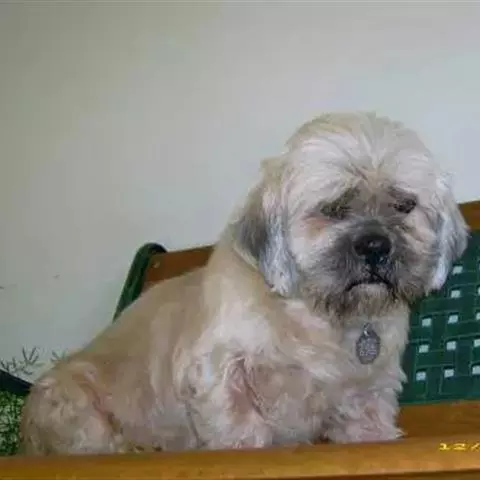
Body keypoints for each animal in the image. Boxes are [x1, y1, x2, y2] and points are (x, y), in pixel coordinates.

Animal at [21, 111, 468, 454]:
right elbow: (240, 426)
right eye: (333, 208)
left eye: (404, 204)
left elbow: (369, 426)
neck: (319, 319)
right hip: (77, 410)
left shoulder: (369, 390)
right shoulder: (217, 371)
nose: (376, 245)